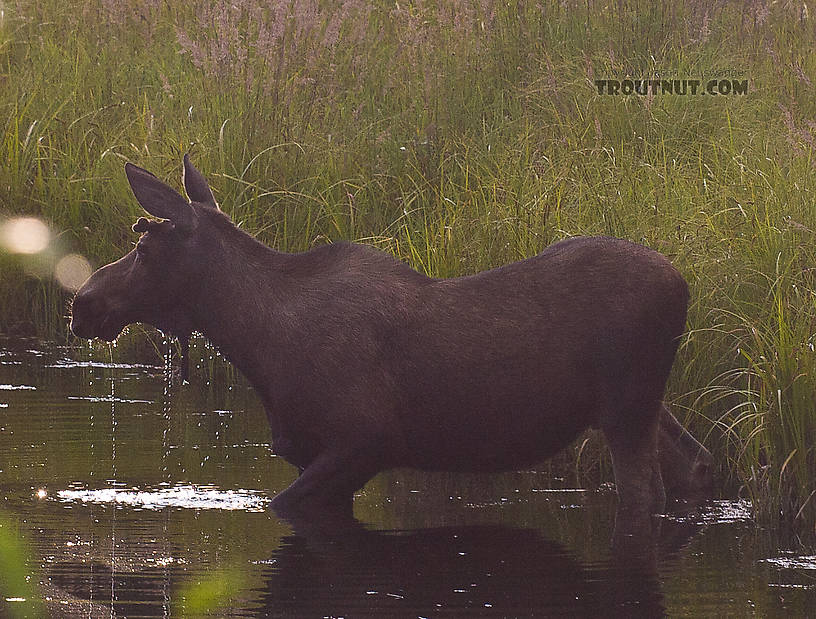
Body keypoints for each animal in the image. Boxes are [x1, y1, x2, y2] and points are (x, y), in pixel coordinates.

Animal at [70, 156, 712, 544]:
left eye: (144, 246)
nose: (83, 302)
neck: (258, 344)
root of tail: (682, 285)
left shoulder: (365, 439)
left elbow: (282, 507)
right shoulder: (320, 454)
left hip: (626, 404)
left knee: (645, 493)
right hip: (647, 403)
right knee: (696, 463)